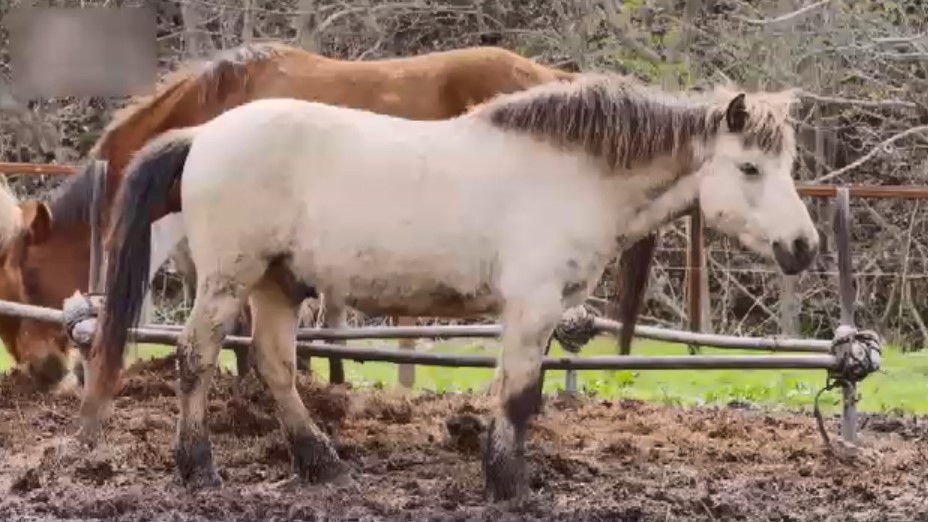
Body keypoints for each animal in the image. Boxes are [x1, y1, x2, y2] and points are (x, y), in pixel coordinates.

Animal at [82, 73, 817, 499]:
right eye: (750, 168)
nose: (803, 246)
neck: (574, 174)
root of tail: (205, 134)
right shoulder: (531, 309)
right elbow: (519, 399)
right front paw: (508, 485)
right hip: (229, 278)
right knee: (196, 358)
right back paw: (199, 468)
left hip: (276, 285)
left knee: (275, 365)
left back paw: (321, 462)